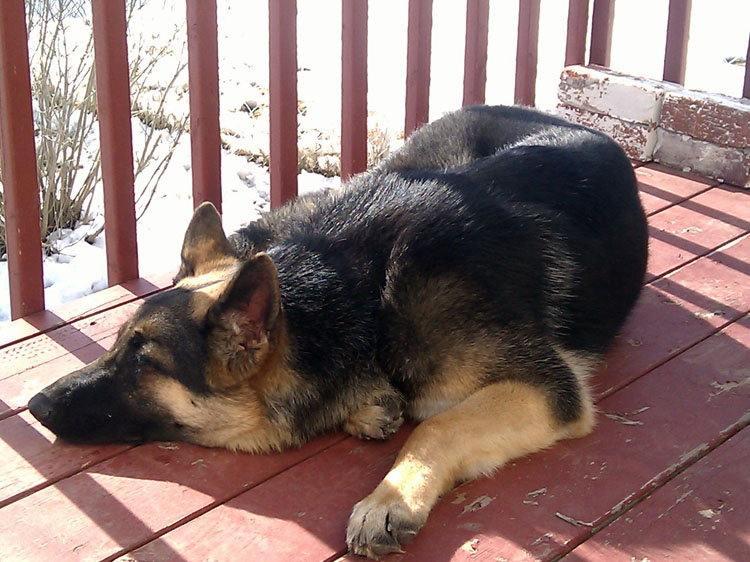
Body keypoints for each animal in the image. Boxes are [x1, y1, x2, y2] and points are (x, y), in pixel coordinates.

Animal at [29, 104, 648, 556]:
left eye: (142, 362)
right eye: (116, 346)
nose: (36, 404)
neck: (363, 298)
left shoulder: (547, 389)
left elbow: (438, 426)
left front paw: (388, 499)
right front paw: (368, 407)